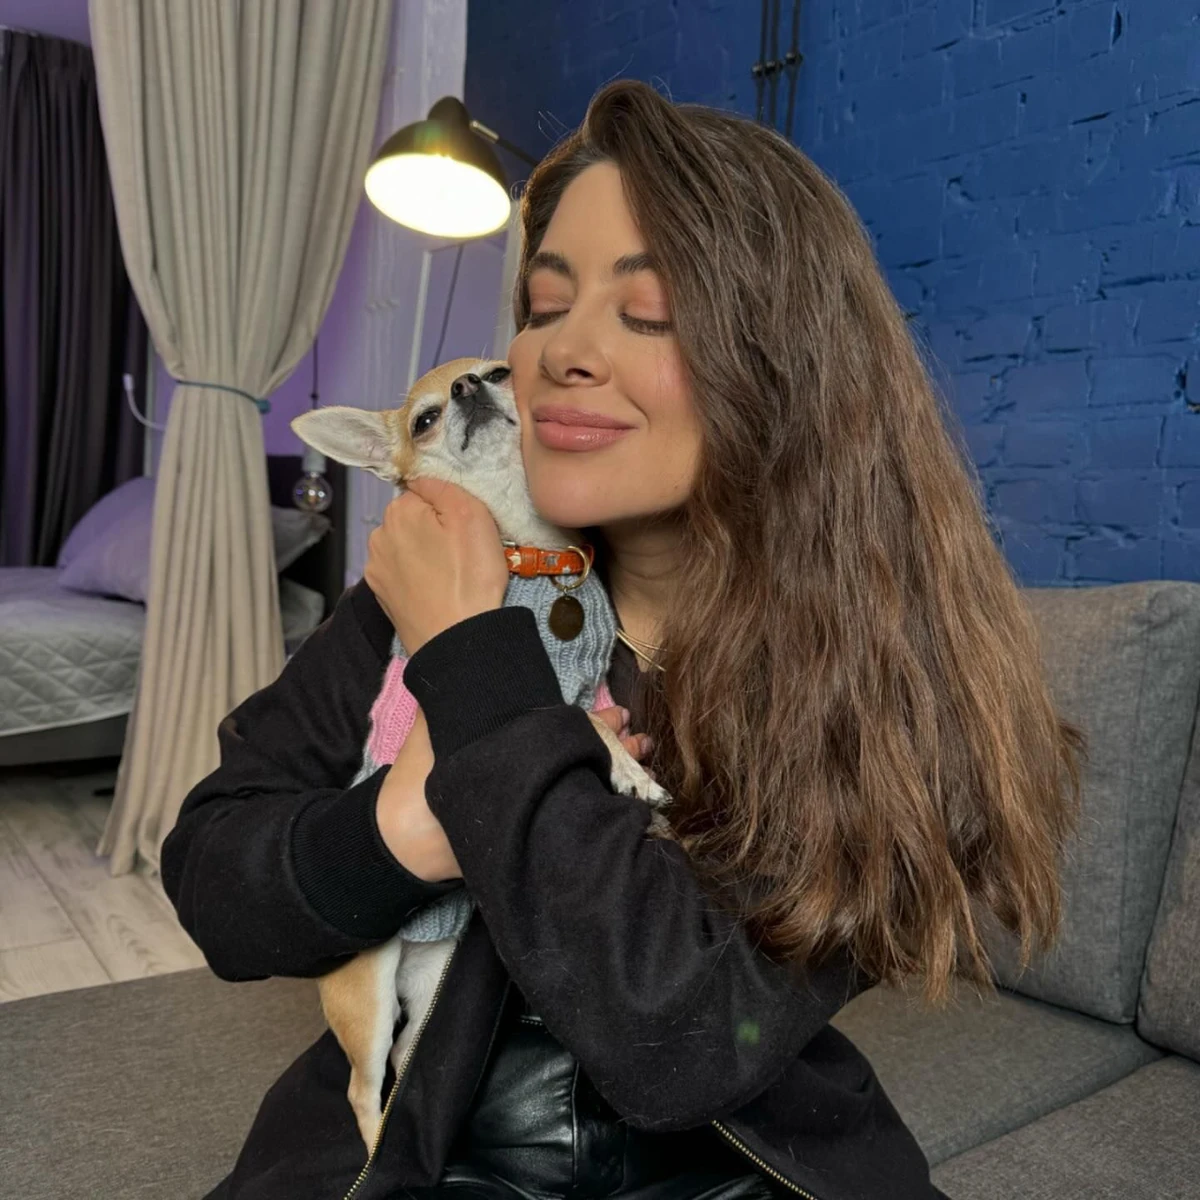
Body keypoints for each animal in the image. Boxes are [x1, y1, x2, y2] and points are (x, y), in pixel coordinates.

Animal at [291, 357, 670, 1154]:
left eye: (497, 372)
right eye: (424, 420)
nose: (468, 389)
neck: (534, 556)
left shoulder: (594, 684)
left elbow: (596, 715)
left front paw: (637, 780)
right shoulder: (532, 695)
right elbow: (569, 717)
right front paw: (627, 772)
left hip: (427, 988)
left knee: (406, 1059)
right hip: (365, 995)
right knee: (362, 1084)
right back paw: (377, 1146)